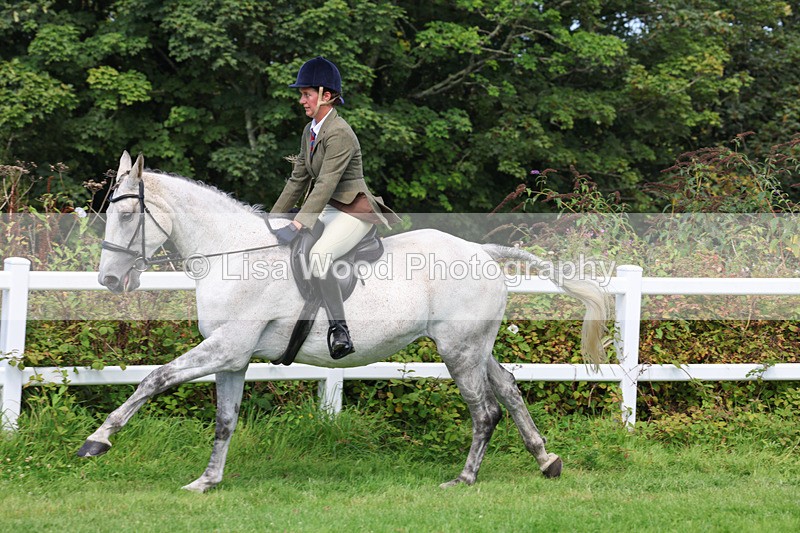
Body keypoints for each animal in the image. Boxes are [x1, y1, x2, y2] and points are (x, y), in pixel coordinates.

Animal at [78, 151, 609, 492]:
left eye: (128, 215)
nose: (109, 280)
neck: (234, 254)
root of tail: (482, 251)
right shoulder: (234, 357)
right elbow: (225, 420)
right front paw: (207, 481)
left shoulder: (227, 348)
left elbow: (154, 378)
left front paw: (97, 440)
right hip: (474, 347)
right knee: (511, 391)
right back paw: (546, 460)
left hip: (458, 351)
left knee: (485, 412)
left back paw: (464, 478)